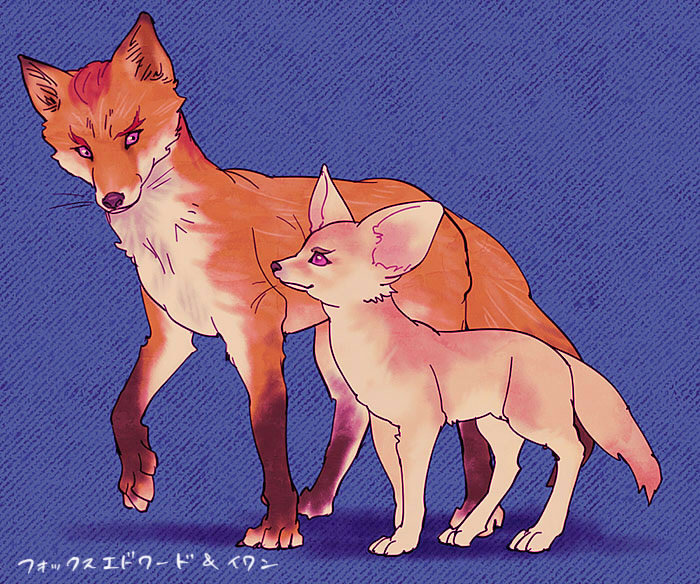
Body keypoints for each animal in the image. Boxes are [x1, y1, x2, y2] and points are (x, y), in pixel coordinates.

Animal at [19, 13, 595, 549]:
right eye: (84, 150)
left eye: (133, 136)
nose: (113, 198)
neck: (170, 236)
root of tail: (439, 207)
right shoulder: (171, 335)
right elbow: (123, 408)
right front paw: (137, 475)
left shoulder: (255, 342)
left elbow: (269, 443)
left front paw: (277, 527)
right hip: (333, 353)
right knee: (354, 415)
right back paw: (319, 500)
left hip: (434, 345)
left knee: (470, 429)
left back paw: (472, 513)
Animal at [271, 166, 661, 556]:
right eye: (301, 247)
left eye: (319, 257)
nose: (275, 264)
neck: (379, 350)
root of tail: (559, 355)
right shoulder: (385, 428)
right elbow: (400, 489)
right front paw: (399, 531)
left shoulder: (421, 427)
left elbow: (415, 492)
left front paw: (404, 540)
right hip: (495, 423)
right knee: (509, 467)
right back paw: (467, 530)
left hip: (535, 422)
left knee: (572, 451)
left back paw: (539, 534)